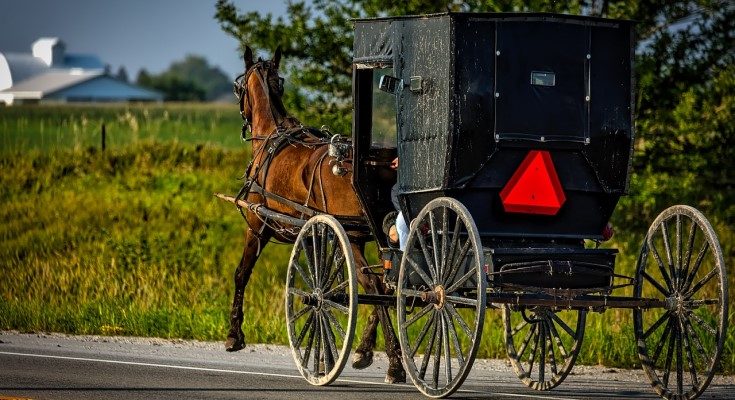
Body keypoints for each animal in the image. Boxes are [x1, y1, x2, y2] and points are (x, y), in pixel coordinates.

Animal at [224, 45, 405, 384]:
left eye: (238, 87)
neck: (271, 136)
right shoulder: (314, 235)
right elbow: (326, 287)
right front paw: (324, 355)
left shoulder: (257, 227)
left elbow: (242, 273)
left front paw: (234, 335)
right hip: (373, 236)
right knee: (389, 285)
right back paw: (366, 352)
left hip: (354, 237)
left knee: (375, 286)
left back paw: (394, 362)